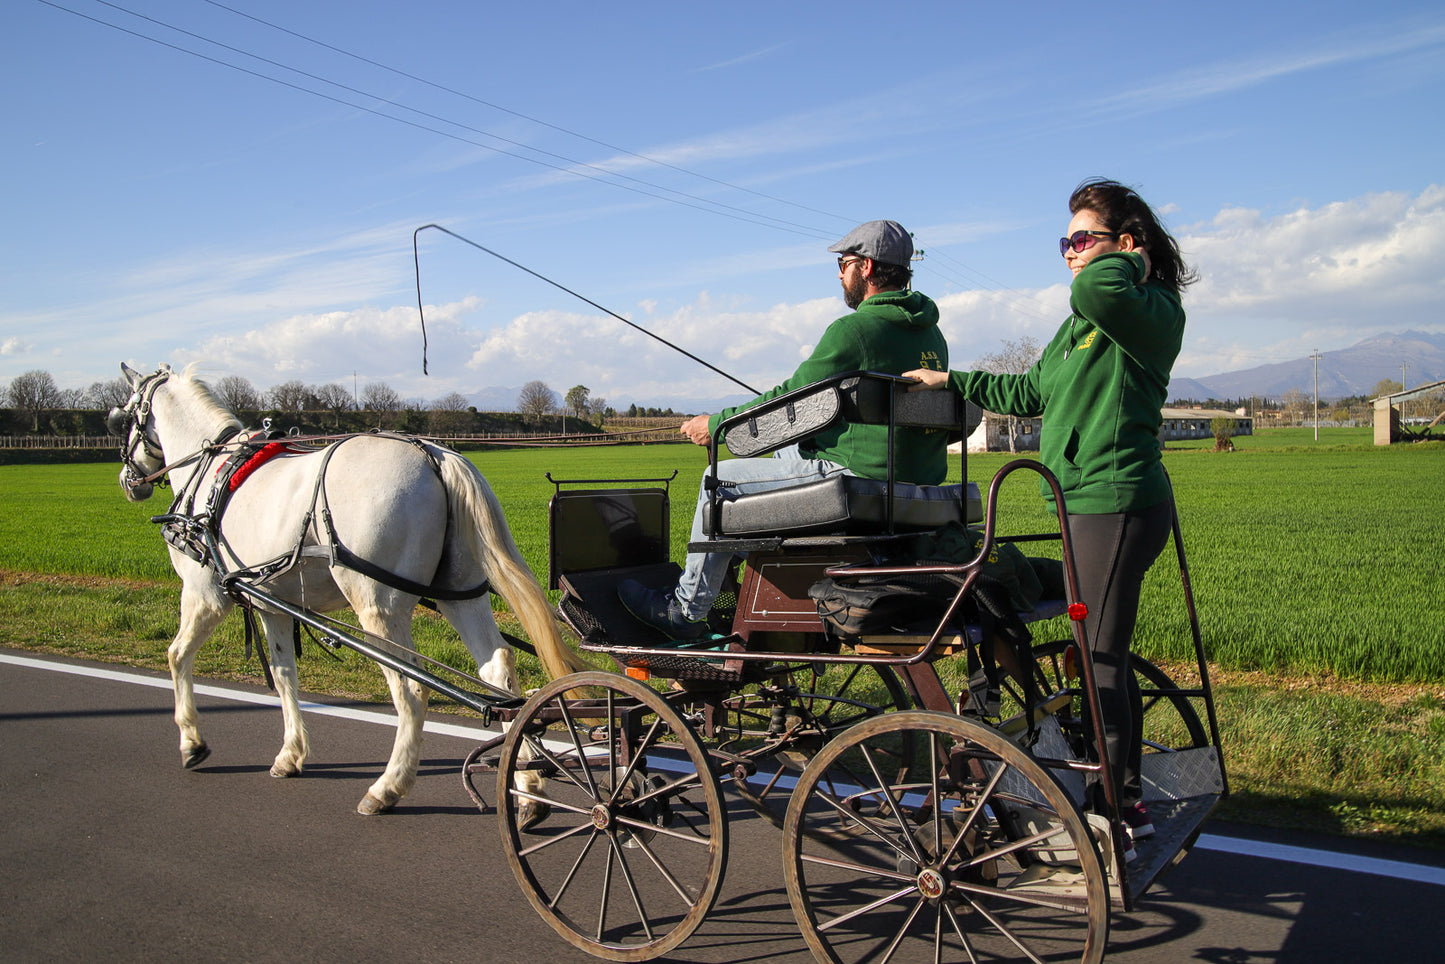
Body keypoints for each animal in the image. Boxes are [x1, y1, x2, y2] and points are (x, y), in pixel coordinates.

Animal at [111, 364, 586, 815]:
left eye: (122, 418)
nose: (127, 482)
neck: (210, 471)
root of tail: (434, 453)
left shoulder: (204, 595)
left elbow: (177, 655)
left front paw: (192, 743)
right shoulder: (274, 606)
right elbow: (284, 675)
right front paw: (290, 754)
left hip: (379, 606)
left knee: (413, 689)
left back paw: (388, 787)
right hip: (461, 596)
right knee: (500, 676)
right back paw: (527, 787)